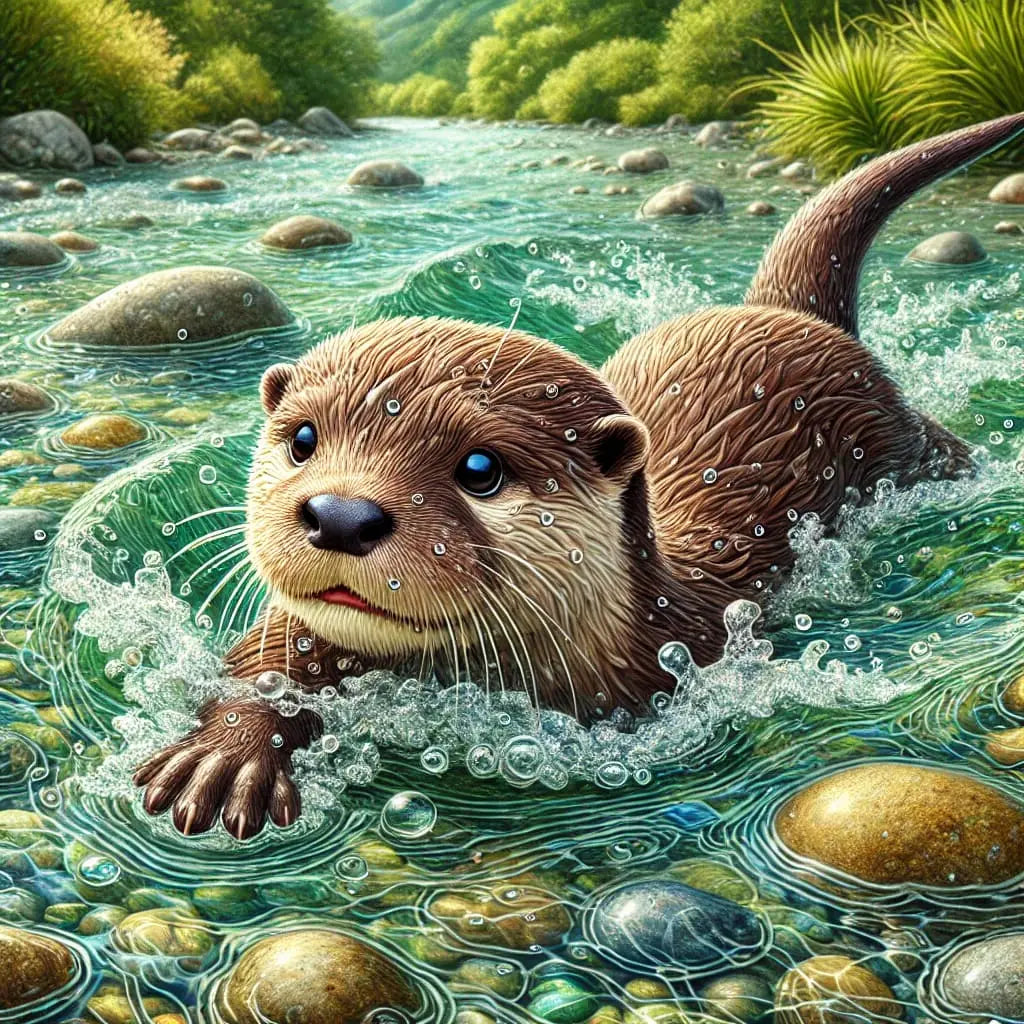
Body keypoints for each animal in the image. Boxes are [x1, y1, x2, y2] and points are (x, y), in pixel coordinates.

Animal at [135, 114, 1024, 839]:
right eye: (303, 438)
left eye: (481, 469)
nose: (341, 515)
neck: (633, 631)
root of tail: (786, 312)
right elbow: (268, 658)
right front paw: (226, 754)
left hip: (899, 433)